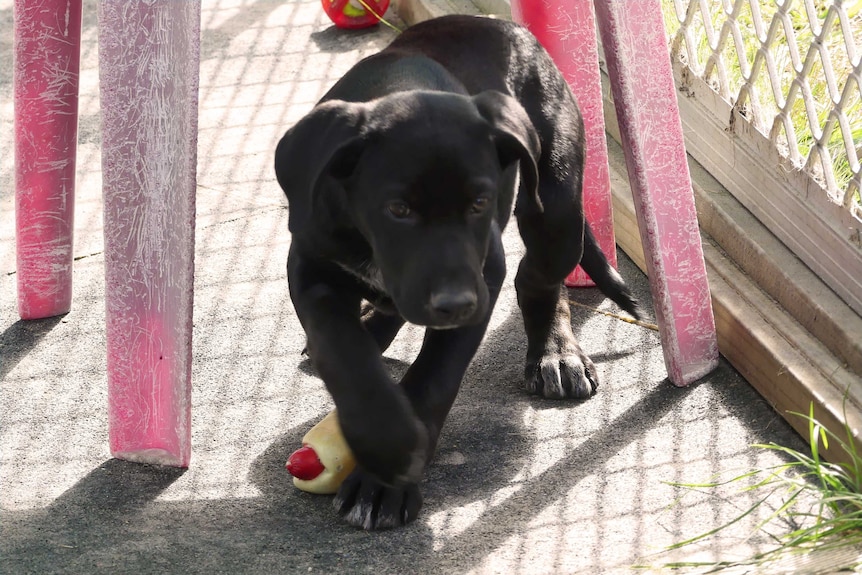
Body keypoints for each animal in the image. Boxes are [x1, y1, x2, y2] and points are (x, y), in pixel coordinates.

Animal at [276, 14, 640, 532]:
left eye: (479, 203)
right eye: (398, 209)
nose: (455, 304)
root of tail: (497, 24)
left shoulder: (481, 277)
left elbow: (435, 377)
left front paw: (383, 482)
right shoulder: (311, 265)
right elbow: (341, 349)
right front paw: (382, 434)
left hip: (557, 209)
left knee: (538, 276)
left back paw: (554, 354)